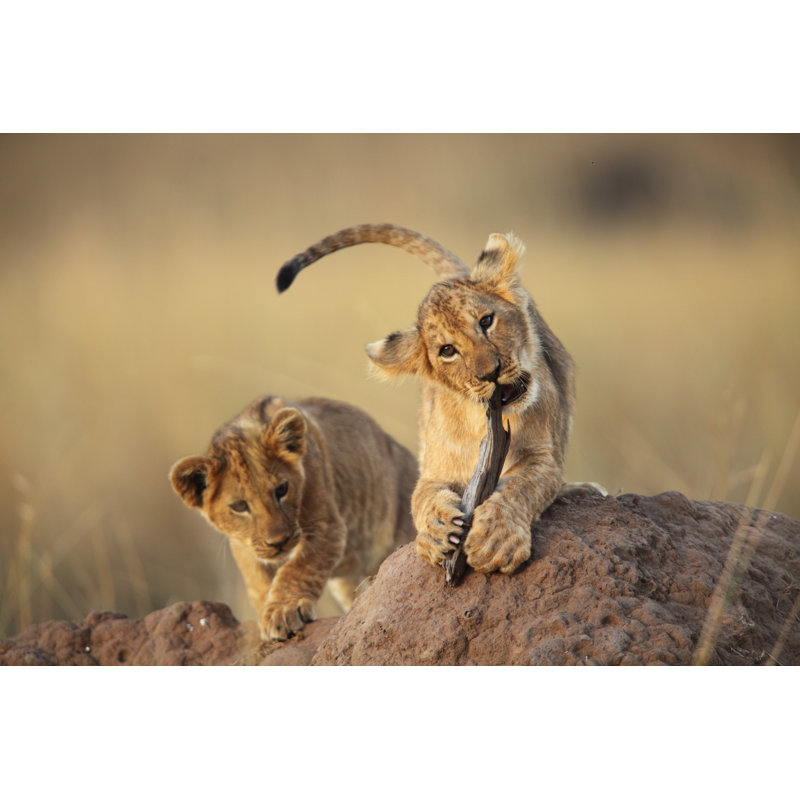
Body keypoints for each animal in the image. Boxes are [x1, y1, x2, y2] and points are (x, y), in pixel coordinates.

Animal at [169, 394, 418, 640]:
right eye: (239, 506)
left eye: (282, 489)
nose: (278, 542)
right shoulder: (243, 545)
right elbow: (257, 580)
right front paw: (267, 612)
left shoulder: (326, 526)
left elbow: (298, 568)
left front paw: (282, 611)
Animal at [277, 224, 601, 576]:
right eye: (448, 350)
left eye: (486, 321)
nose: (491, 372)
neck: (481, 420)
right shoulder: (434, 469)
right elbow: (421, 499)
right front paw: (435, 530)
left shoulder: (544, 457)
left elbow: (522, 486)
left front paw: (496, 539)